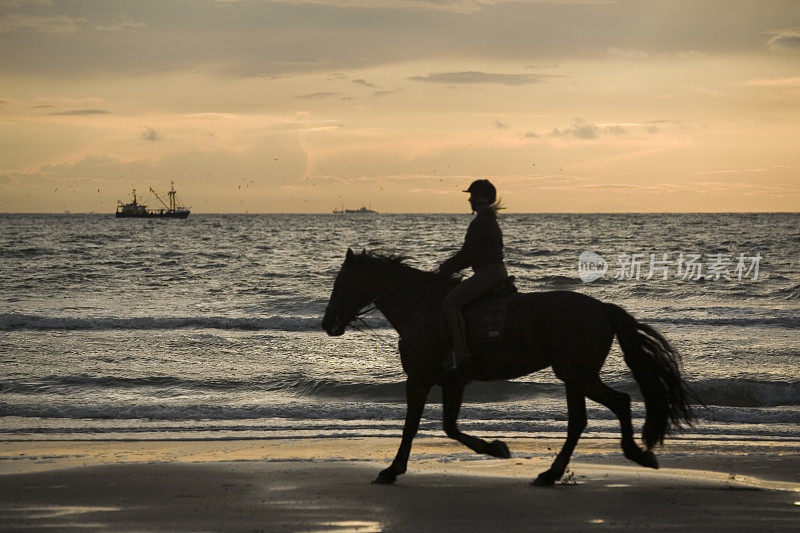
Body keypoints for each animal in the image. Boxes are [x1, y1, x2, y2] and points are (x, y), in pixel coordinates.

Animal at [320, 247, 692, 484]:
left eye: (341, 283)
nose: (327, 324)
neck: (419, 306)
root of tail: (601, 308)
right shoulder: (453, 382)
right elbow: (449, 427)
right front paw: (495, 448)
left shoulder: (420, 379)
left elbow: (411, 427)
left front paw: (391, 470)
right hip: (577, 376)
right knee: (599, 412)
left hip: (577, 375)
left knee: (606, 409)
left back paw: (586, 465)